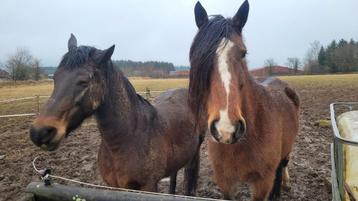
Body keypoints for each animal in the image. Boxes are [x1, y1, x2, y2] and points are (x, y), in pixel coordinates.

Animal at [29, 34, 203, 195]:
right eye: (55, 78)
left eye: (84, 82)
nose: (40, 132)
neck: (126, 140)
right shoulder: (116, 187)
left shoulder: (148, 187)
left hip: (194, 154)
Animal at [189, 0, 300, 200]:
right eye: (197, 55)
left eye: (243, 53)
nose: (226, 129)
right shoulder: (225, 183)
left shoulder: (262, 184)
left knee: (282, 166)